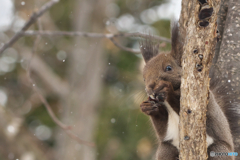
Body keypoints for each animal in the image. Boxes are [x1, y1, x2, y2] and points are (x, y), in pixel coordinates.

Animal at [139, 24, 240, 160]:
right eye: (144, 77)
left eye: (169, 68)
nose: (150, 87)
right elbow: (163, 132)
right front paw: (147, 107)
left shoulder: (203, 101)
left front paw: (167, 89)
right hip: (166, 150)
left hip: (219, 150)